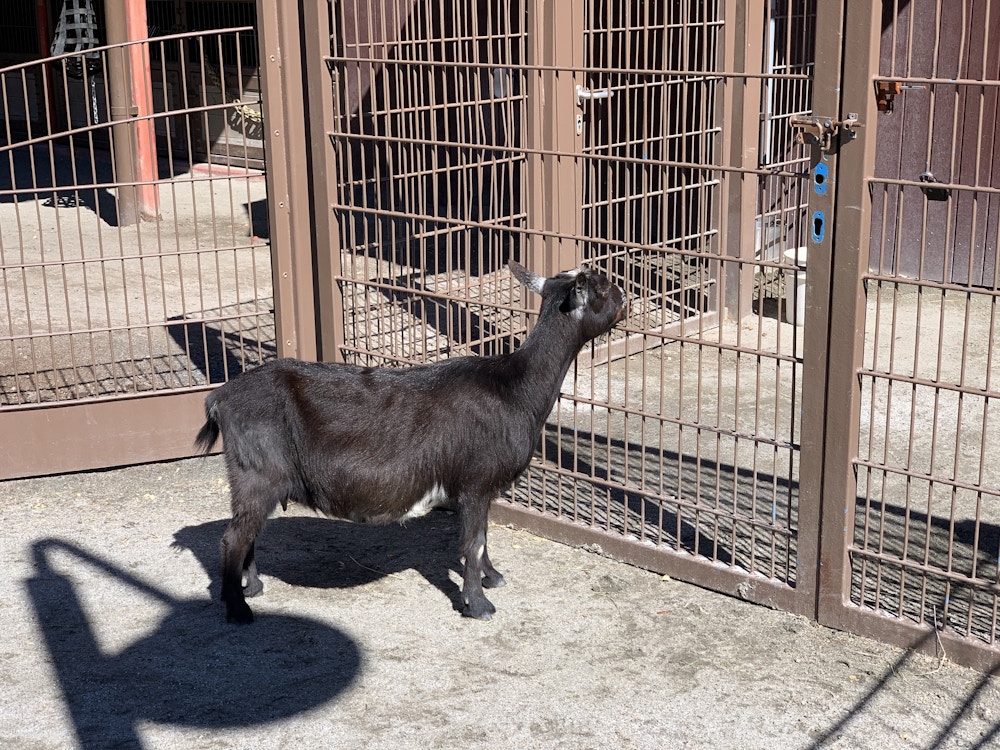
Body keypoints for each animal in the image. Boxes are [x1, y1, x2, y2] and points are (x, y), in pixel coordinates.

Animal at [195, 262, 624, 624]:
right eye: (602, 287)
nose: (626, 297)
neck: (515, 387)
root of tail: (219, 398)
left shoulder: (481, 488)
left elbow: (483, 536)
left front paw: (492, 577)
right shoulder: (474, 482)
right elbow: (473, 542)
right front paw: (478, 605)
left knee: (248, 533)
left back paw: (254, 587)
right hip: (257, 474)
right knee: (233, 538)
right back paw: (238, 608)